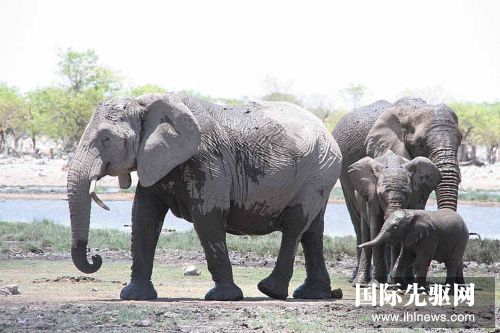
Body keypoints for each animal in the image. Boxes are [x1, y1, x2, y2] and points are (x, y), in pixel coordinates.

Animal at [67, 92, 344, 300]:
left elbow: (207, 217)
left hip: (319, 169)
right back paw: (313, 294)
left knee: (296, 224)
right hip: (321, 172)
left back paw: (271, 290)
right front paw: (134, 296)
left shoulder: (207, 159)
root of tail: (328, 133)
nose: (95, 257)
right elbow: (144, 217)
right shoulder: (155, 158)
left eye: (106, 138)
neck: (146, 104)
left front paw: (223, 297)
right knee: (313, 230)